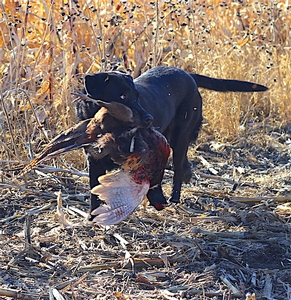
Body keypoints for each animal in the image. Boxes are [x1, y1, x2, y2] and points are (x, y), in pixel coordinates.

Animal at [76, 65, 270, 217]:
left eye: (137, 96)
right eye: (122, 96)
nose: (149, 119)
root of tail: (188, 75)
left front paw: (158, 199)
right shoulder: (94, 160)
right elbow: (93, 190)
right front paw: (92, 216)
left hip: (180, 136)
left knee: (177, 167)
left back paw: (175, 196)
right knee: (183, 162)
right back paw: (187, 175)